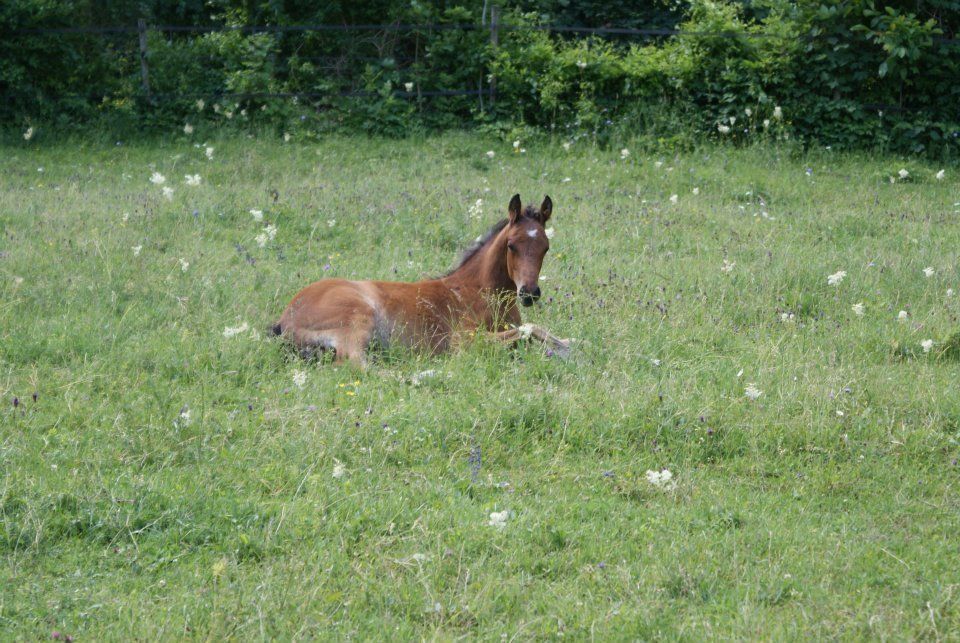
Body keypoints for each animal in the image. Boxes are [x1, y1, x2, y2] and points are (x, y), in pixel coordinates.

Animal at [271, 194, 572, 367]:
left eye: (545, 247)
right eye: (511, 245)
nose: (529, 293)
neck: (477, 291)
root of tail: (285, 318)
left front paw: (567, 345)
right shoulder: (464, 342)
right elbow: (531, 329)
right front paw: (566, 351)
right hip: (356, 319)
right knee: (358, 365)